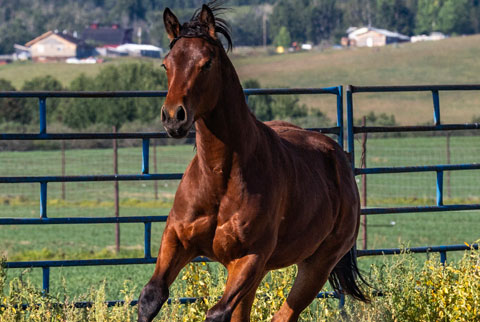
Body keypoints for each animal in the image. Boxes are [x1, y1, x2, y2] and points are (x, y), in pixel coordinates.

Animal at [138, 3, 368, 322]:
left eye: (206, 64)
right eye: (166, 65)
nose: (174, 117)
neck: (220, 175)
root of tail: (340, 159)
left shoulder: (249, 258)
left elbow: (216, 313)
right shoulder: (177, 238)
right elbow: (151, 296)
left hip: (316, 265)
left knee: (284, 315)